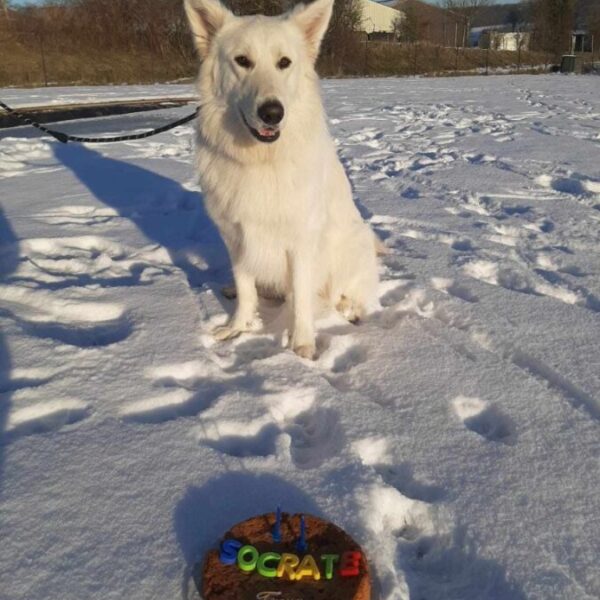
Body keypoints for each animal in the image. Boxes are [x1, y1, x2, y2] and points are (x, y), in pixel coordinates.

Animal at [184, 0, 380, 358]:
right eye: (242, 61)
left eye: (284, 63)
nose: (273, 113)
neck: (261, 161)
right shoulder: (237, 236)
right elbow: (247, 287)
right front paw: (238, 327)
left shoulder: (301, 242)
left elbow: (300, 298)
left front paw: (302, 345)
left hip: (354, 243)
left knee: (348, 292)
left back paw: (347, 308)